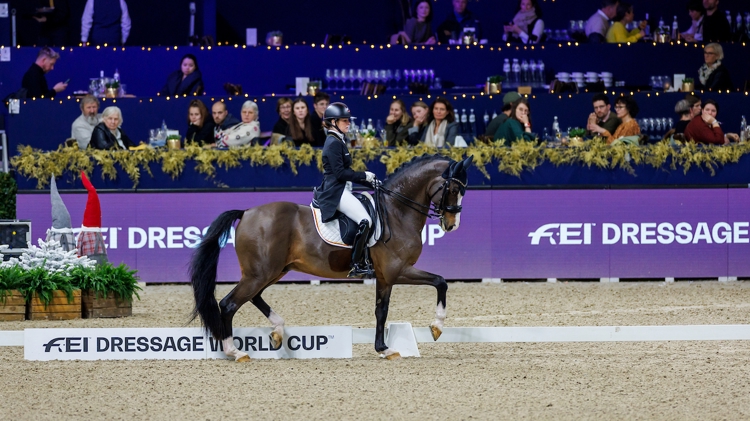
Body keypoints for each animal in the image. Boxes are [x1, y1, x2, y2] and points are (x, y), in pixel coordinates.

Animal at [194, 153, 476, 358]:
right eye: (453, 189)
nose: (452, 225)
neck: (397, 213)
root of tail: (247, 212)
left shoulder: (385, 277)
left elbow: (381, 310)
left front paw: (384, 349)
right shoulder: (397, 271)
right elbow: (440, 282)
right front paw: (436, 327)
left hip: (271, 271)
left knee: (253, 297)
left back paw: (277, 331)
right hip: (260, 273)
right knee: (228, 304)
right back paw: (234, 351)